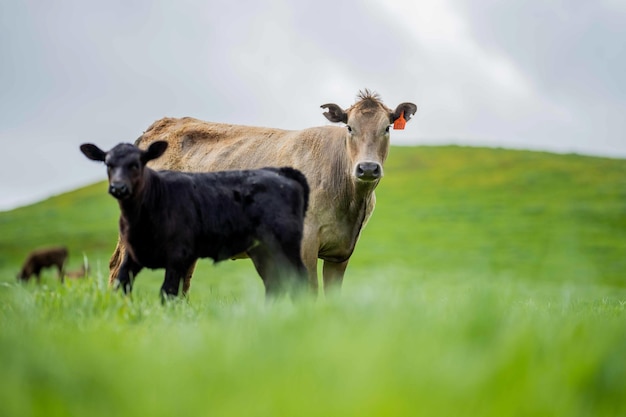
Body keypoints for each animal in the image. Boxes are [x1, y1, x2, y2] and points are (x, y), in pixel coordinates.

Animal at [79, 141, 308, 300]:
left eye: (136, 164)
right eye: (108, 164)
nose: (118, 187)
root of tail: (279, 171)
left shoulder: (177, 255)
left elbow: (168, 293)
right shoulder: (134, 254)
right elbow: (121, 285)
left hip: (286, 244)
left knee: (300, 279)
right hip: (263, 250)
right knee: (276, 283)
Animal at [109, 89, 416, 294]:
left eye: (387, 128)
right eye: (349, 128)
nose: (367, 168)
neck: (350, 205)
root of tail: (163, 124)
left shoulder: (341, 252)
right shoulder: (304, 243)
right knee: (118, 268)